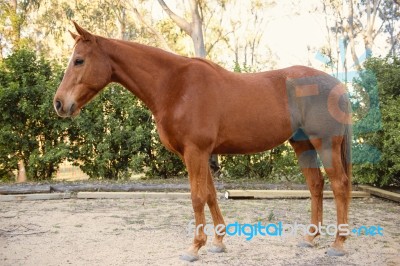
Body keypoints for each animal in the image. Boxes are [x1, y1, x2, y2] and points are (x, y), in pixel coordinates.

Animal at [54, 21, 352, 260]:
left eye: (79, 60)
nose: (59, 104)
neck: (175, 86)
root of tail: (337, 84)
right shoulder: (202, 153)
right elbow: (210, 195)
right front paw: (218, 242)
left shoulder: (194, 152)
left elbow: (197, 197)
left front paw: (194, 247)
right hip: (302, 145)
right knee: (316, 185)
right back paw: (310, 237)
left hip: (325, 144)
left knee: (339, 185)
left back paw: (338, 244)